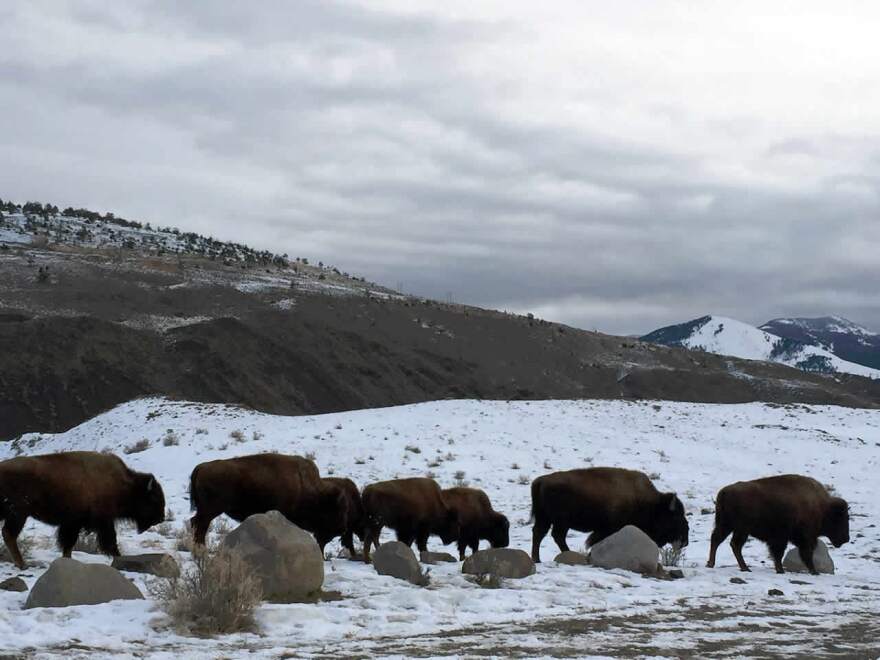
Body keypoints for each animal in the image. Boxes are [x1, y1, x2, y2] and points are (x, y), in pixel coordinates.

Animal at [0, 452, 165, 568]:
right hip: (19, 514)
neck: (123, 485)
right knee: (9, 534)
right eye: (154, 498)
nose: (161, 518)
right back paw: (22, 564)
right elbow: (110, 542)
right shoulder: (103, 522)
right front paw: (119, 557)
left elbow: (68, 544)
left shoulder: (72, 524)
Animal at [190, 454, 348, 552]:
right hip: (211, 509)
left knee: (195, 522)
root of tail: (201, 467)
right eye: (336, 510)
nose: (342, 529)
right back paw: (201, 550)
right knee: (200, 525)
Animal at [528, 464, 688, 564]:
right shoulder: (606, 530)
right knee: (555, 536)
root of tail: (541, 481)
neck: (651, 504)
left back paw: (537, 559)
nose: (685, 541)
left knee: (540, 534)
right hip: (560, 521)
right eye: (676, 516)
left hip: (546, 519)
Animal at [704, 472, 848, 576]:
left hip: (726, 525)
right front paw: (813, 572)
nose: (846, 539)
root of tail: (724, 492)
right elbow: (797, 554)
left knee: (717, 540)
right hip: (740, 529)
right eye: (840, 519)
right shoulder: (800, 538)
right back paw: (744, 568)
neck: (821, 508)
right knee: (734, 544)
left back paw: (712, 564)